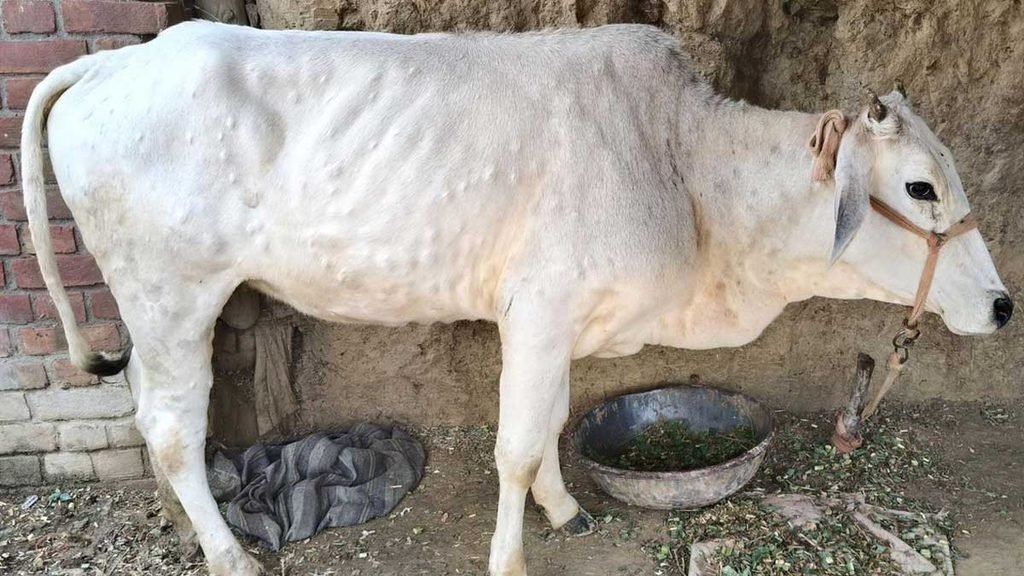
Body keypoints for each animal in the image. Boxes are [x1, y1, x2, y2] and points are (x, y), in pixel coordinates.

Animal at [21, 21, 1012, 576]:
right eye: (920, 187)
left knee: (152, 413)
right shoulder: (539, 311)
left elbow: (552, 427)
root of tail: (115, 62)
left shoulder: (562, 321)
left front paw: (565, 510)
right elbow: (515, 446)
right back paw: (227, 554)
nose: (1003, 306)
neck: (685, 174)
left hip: (155, 310)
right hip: (173, 296)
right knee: (172, 429)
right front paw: (511, 557)